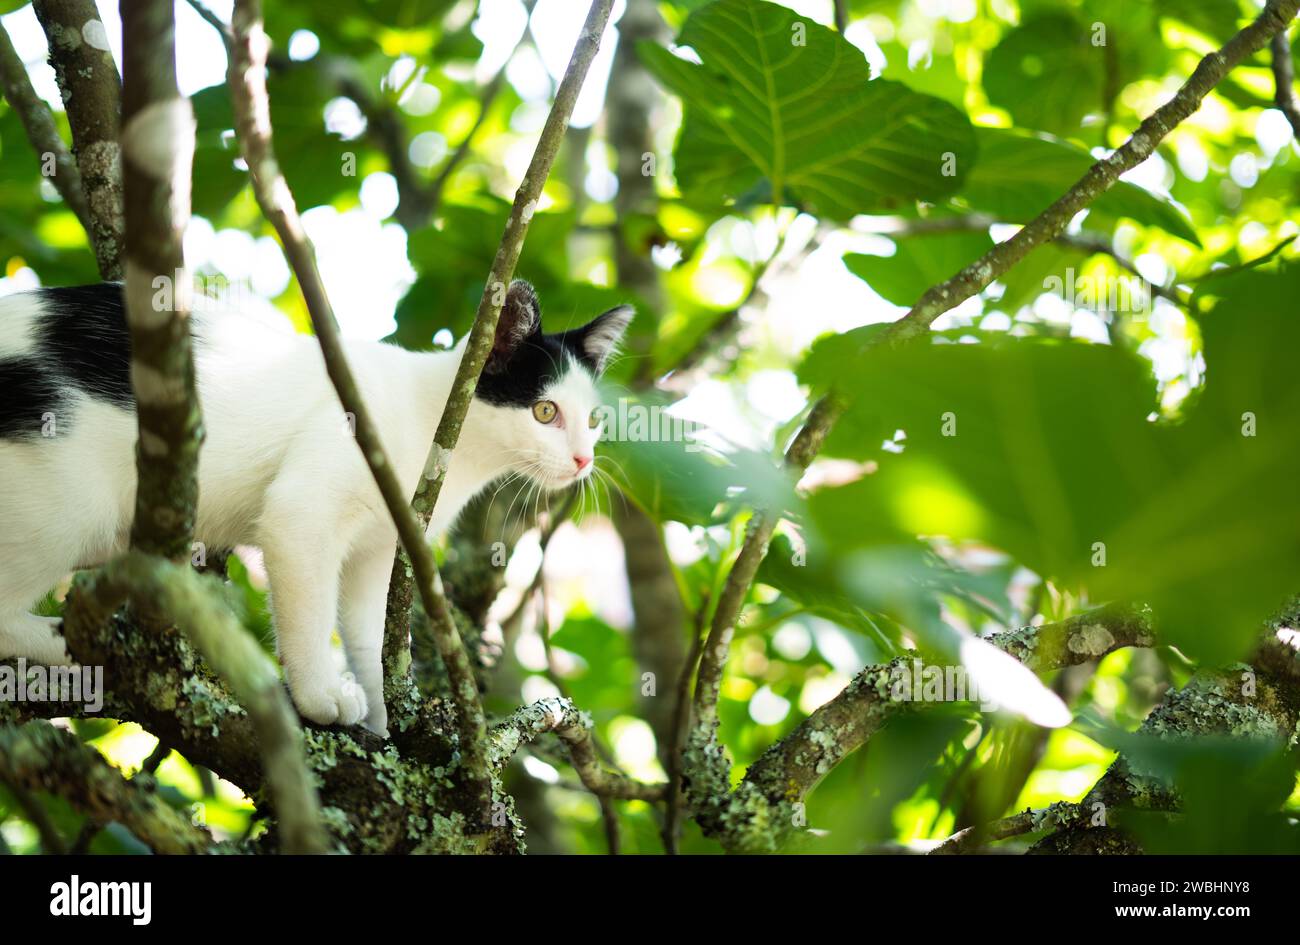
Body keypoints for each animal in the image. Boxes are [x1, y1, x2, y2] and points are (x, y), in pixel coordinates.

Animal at [0, 280, 629, 738]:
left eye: (594, 419)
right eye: (545, 411)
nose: (582, 459)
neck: (436, 429)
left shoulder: (379, 547)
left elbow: (368, 636)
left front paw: (383, 721)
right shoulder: (303, 509)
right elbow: (310, 609)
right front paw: (319, 695)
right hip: (69, 504)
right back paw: (73, 644)